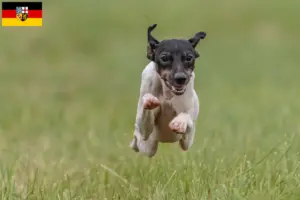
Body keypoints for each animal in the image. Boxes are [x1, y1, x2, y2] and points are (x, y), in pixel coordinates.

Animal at [129, 24, 206, 157]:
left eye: (189, 57)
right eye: (164, 58)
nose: (180, 78)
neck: (168, 94)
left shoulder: (187, 137)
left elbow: (187, 118)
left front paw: (179, 122)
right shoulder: (145, 132)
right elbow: (144, 121)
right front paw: (149, 100)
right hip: (148, 147)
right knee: (138, 139)